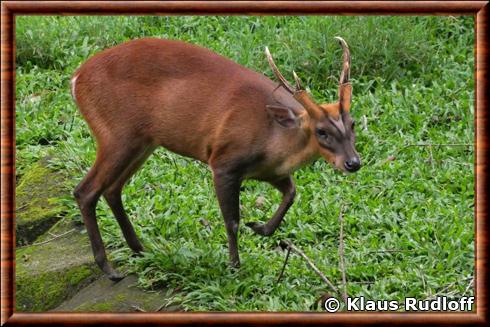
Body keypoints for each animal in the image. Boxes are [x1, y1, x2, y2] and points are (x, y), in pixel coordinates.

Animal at [72, 37, 360, 280]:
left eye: (353, 123)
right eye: (321, 131)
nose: (353, 163)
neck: (272, 136)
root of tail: (76, 79)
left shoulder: (269, 172)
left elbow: (291, 193)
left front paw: (260, 228)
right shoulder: (223, 162)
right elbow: (232, 221)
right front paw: (234, 266)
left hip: (142, 142)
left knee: (112, 189)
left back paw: (139, 249)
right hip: (118, 135)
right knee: (85, 190)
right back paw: (109, 269)